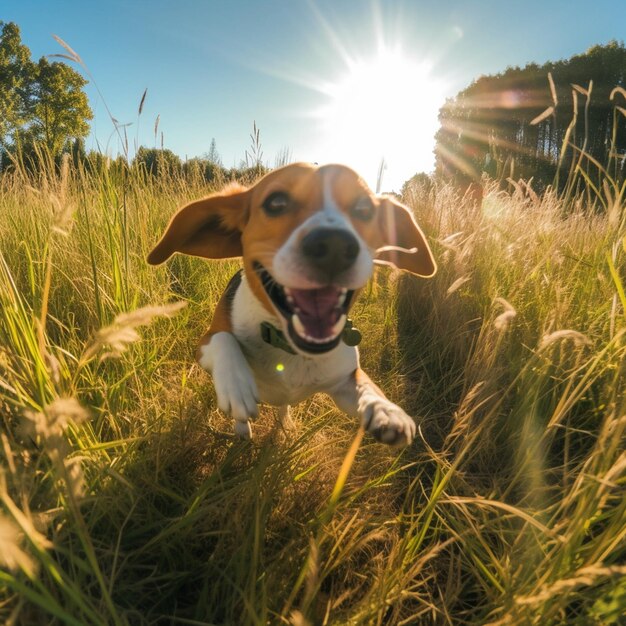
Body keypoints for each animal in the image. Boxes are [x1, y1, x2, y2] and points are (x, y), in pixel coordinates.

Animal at [150, 162, 434, 444]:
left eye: (365, 209)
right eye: (276, 202)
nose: (335, 245)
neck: (290, 347)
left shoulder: (345, 380)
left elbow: (368, 388)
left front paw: (387, 411)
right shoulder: (204, 344)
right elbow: (223, 338)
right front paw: (237, 384)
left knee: (283, 406)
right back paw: (242, 428)